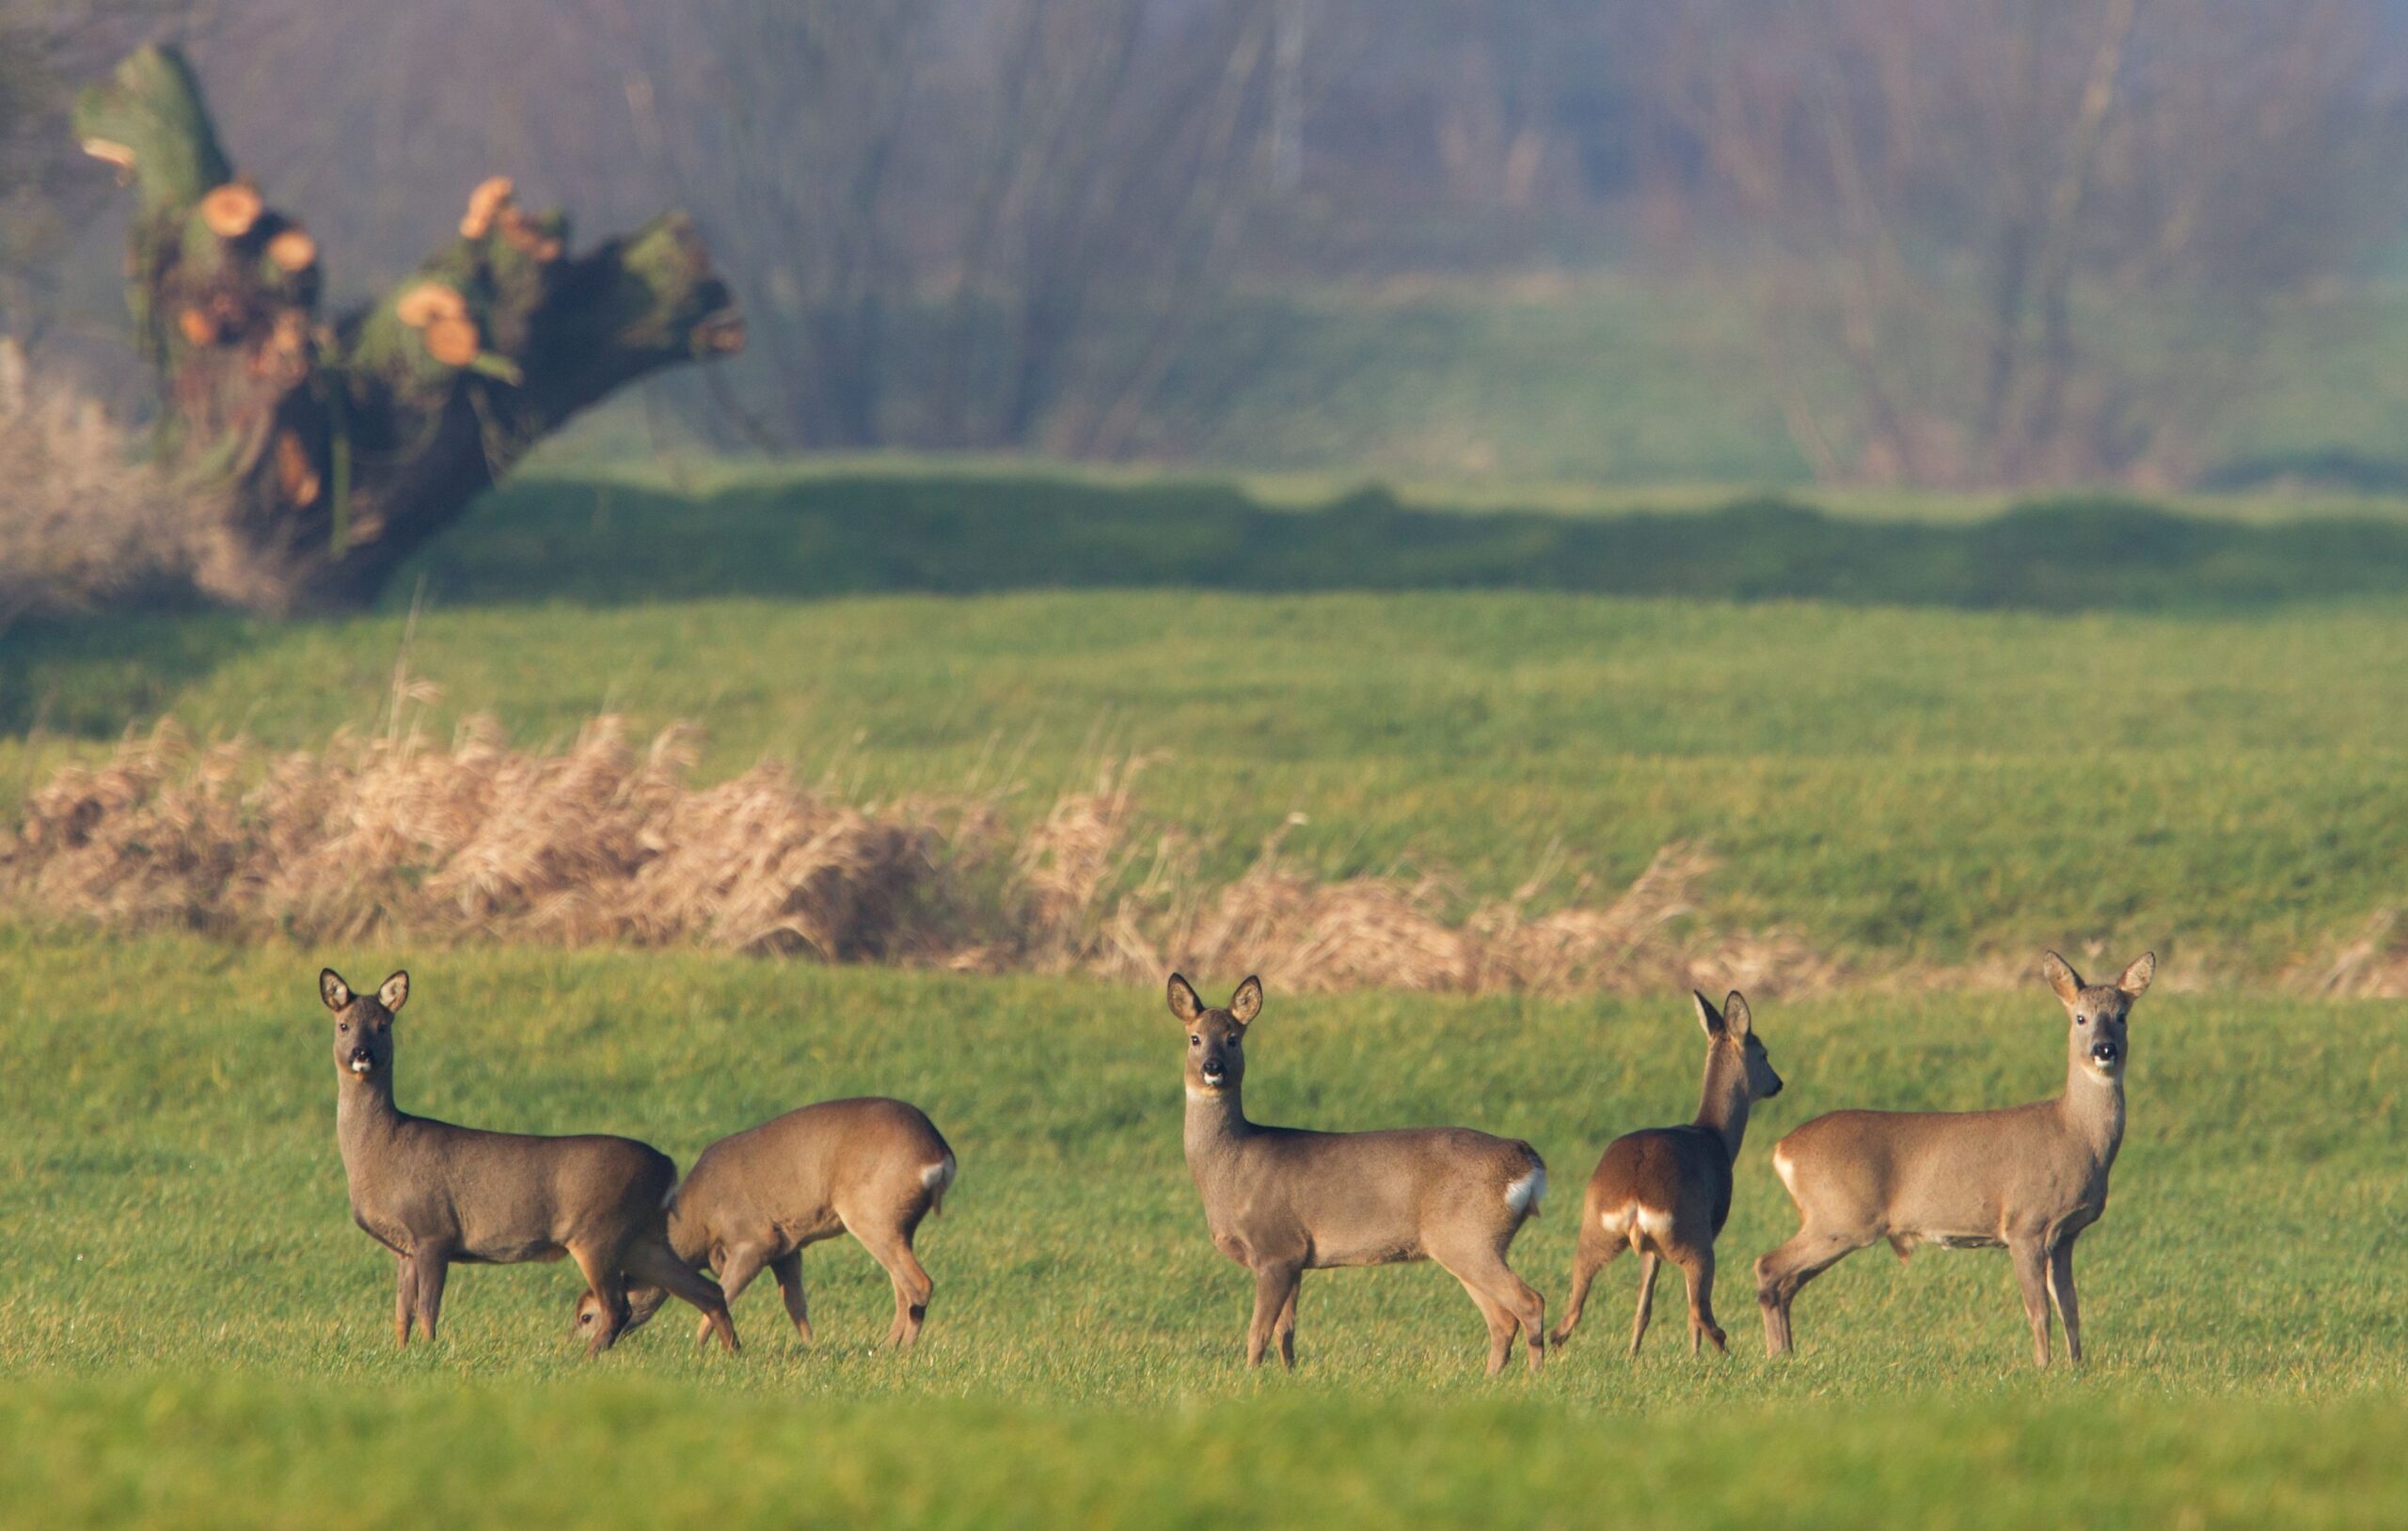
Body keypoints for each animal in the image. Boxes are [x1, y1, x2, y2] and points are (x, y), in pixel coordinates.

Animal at [320, 962, 737, 1357]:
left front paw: (428, 1354)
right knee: (708, 1291)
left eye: (383, 1026)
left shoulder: (434, 1230)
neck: (382, 1150)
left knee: (618, 1306)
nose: (362, 1054)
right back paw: (733, 1354)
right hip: (641, 1237)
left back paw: (583, 1358)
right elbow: (401, 1314)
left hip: (598, 1231)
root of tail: (667, 1165)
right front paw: (404, 1354)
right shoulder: (403, 1249)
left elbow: (427, 1310)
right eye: (344, 1025)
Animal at [573, 1102, 958, 1348]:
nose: (575, 1344)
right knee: (902, 1287)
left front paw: (700, 1349)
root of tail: (938, 1154)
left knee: (918, 1284)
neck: (700, 1222)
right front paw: (810, 1348)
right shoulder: (787, 1249)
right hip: (896, 1224)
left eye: (586, 1316)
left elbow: (723, 1292)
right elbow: (795, 1304)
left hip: (871, 1213)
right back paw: (887, 1347)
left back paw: (899, 1351)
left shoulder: (754, 1241)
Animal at [1170, 972, 1550, 1366]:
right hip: (1465, 1244)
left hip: (1470, 1235)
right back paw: (1494, 1376)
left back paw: (1533, 1375)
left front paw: (1250, 1375)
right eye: (1195, 1038)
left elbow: (1258, 1332)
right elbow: (1285, 1332)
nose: (1212, 1067)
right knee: (1502, 1319)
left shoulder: (1276, 1247)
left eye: (1232, 1038)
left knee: (1529, 1302)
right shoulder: (1295, 1257)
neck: (1232, 1168)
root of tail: (1526, 1159)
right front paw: (1288, 1375)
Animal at [1550, 996, 1782, 1357]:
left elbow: (1644, 1305)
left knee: (1568, 1317)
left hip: (1595, 1234)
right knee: (1699, 1311)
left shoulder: (1650, 1250)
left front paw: (1633, 1355)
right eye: (1764, 1053)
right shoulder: (1711, 1227)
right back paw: (1725, 1357)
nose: (1778, 1083)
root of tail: (1634, 1194)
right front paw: (1693, 1358)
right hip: (1694, 1240)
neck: (1716, 1136)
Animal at [1752, 953, 2147, 1366]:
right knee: (1768, 1265)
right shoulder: (2026, 1224)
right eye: (2080, 1017)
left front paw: (2076, 1367)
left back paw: (1785, 1353)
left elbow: (2070, 1308)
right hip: (1841, 1217)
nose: (2104, 1049)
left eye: (2122, 1015)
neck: (2076, 1134)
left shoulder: (2066, 1235)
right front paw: (2043, 1367)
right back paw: (1776, 1354)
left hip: (1833, 1221)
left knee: (1787, 1281)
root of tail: (1783, 1149)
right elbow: (2038, 1310)